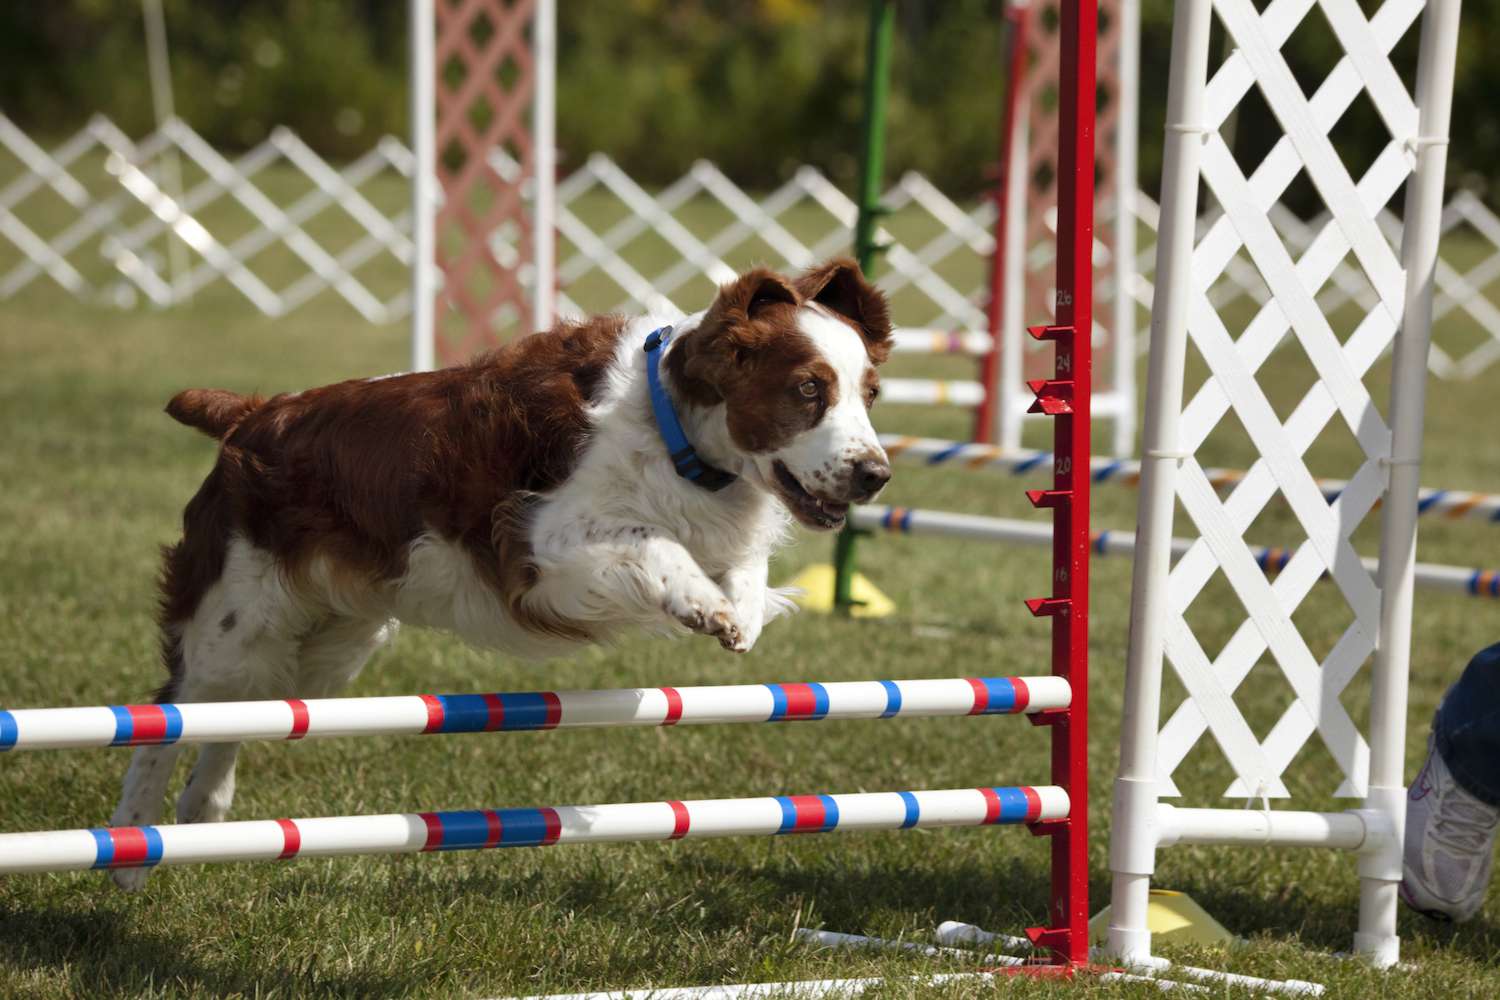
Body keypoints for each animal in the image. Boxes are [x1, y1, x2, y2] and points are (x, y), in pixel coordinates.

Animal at [111, 257, 894, 893]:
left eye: (871, 395)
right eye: (807, 389)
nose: (875, 475)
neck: (675, 428)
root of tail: (253, 416)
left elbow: (748, 571)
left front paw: (736, 610)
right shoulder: (539, 543)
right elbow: (655, 543)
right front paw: (705, 605)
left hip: (331, 640)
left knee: (246, 712)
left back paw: (203, 811)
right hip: (235, 617)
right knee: (170, 712)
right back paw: (131, 847)